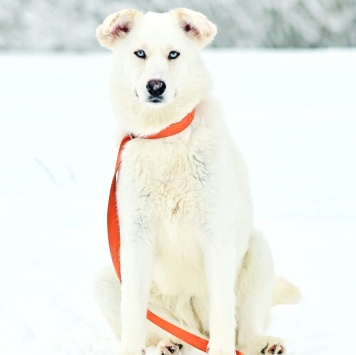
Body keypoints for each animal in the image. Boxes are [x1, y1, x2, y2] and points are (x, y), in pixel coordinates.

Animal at [94, 7, 300, 355]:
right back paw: (171, 342)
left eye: (174, 54)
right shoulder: (135, 239)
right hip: (107, 277)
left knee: (242, 331)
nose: (156, 85)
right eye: (140, 53)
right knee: (162, 331)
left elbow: (223, 316)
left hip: (258, 251)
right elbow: (133, 317)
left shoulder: (215, 236)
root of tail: (189, 320)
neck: (164, 135)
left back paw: (264, 344)